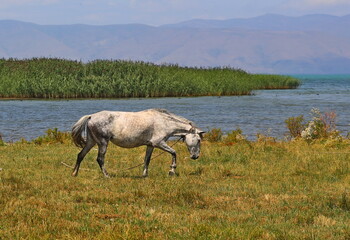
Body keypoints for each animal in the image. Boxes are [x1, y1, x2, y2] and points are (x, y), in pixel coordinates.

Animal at [71, 108, 204, 177]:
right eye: (198, 140)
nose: (195, 156)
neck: (164, 122)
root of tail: (91, 116)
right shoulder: (159, 143)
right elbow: (174, 153)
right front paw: (172, 171)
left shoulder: (150, 145)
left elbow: (147, 160)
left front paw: (144, 175)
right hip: (103, 143)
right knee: (100, 159)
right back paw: (107, 175)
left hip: (91, 142)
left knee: (80, 155)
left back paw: (74, 173)